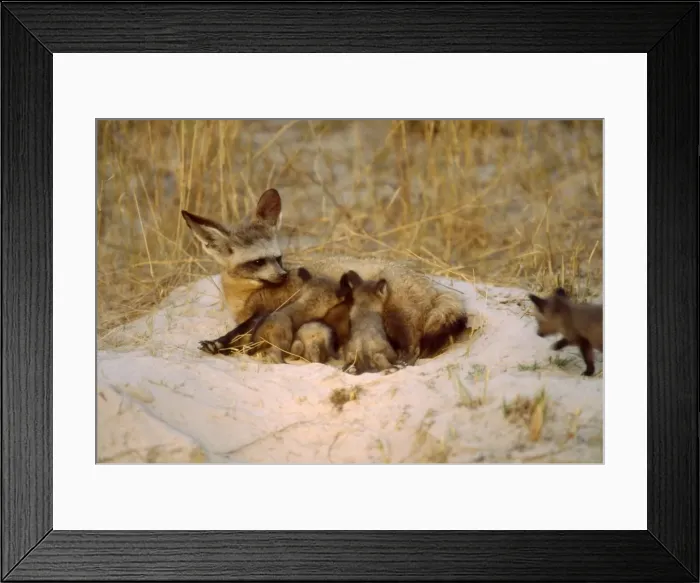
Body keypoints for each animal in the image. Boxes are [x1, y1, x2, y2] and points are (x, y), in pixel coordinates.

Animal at [182, 187, 468, 361]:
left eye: (278, 258)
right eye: (258, 262)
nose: (283, 275)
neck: (243, 296)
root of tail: (432, 286)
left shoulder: (269, 309)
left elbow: (241, 331)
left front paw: (218, 343)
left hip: (396, 316)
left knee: (414, 347)